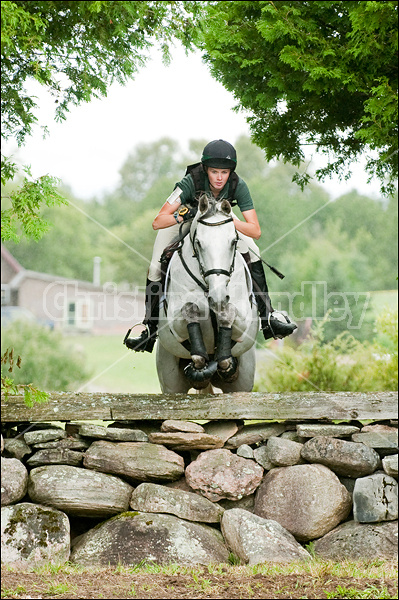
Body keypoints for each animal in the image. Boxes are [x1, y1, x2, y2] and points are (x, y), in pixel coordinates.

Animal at [156, 192, 260, 394]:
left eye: (233, 242)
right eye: (198, 243)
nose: (217, 297)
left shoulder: (244, 320)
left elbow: (228, 312)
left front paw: (225, 361)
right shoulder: (175, 325)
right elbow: (190, 309)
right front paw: (199, 361)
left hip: (243, 383)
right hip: (170, 382)